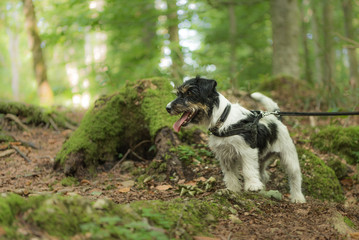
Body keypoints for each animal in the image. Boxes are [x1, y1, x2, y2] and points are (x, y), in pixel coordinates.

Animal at [166, 76, 306, 202]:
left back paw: (297, 197)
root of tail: (276, 118)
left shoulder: (247, 151)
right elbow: (230, 175)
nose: (167, 108)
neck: (223, 120)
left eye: (190, 93)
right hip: (261, 158)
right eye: (178, 94)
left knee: (295, 177)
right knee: (262, 174)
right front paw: (233, 190)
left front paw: (252, 186)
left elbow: (248, 170)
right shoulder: (225, 156)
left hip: (289, 157)